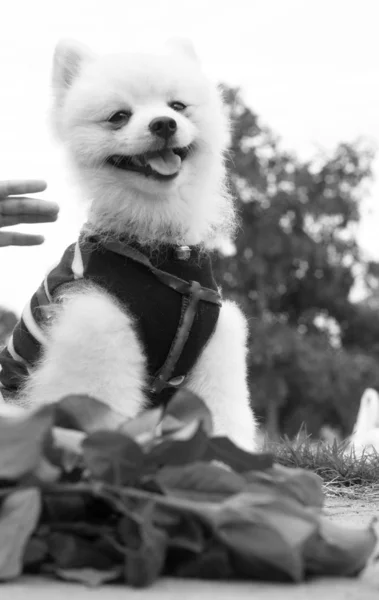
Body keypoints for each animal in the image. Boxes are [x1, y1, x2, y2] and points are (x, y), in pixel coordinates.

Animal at [0, 37, 258, 450]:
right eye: (119, 116)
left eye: (177, 106)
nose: (164, 123)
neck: (162, 250)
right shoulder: (98, 329)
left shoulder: (214, 348)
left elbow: (222, 419)